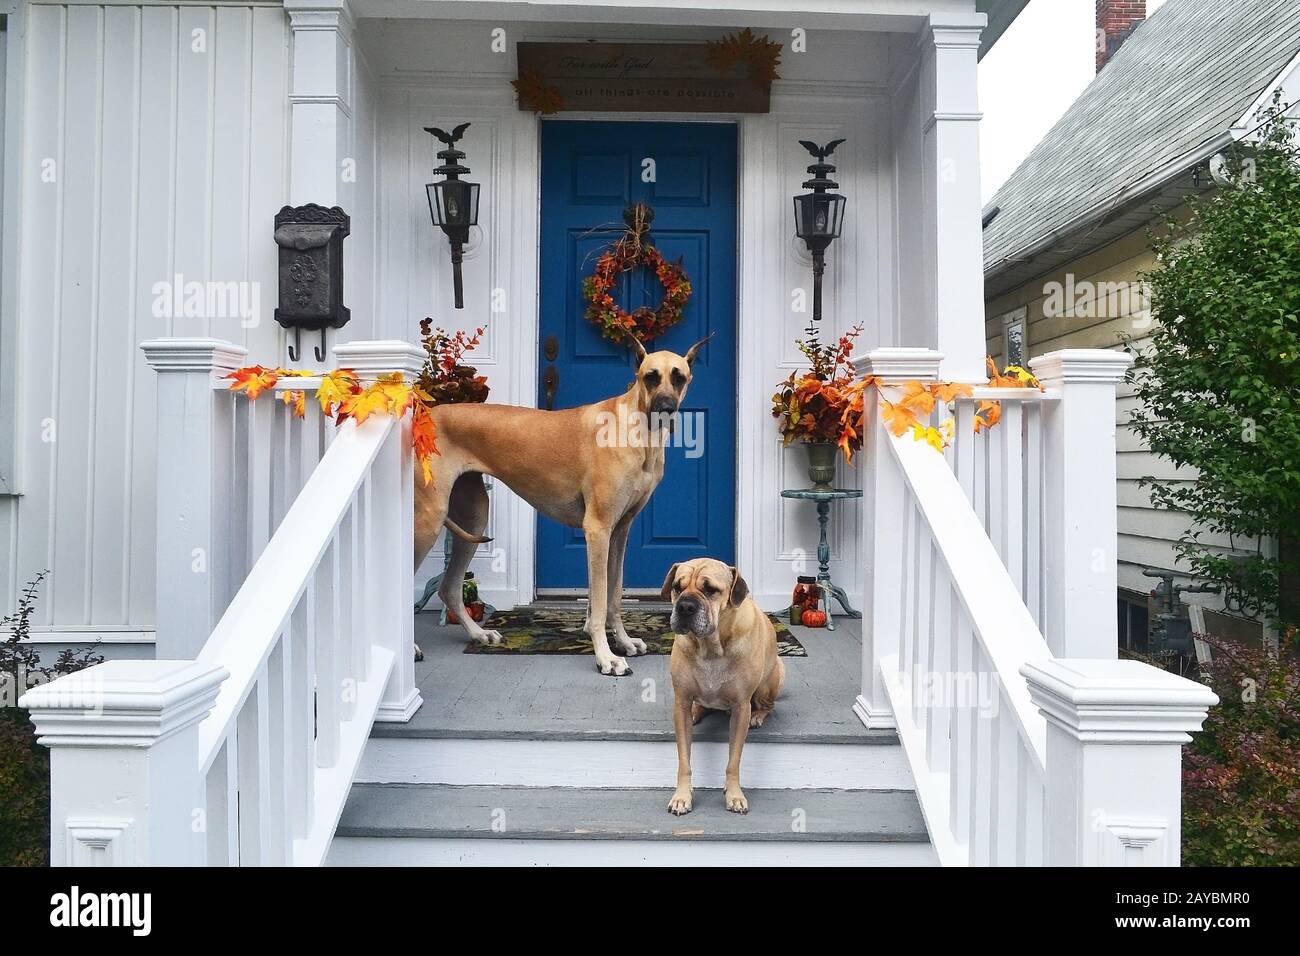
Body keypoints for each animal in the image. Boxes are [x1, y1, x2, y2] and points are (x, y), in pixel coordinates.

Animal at [413, 332, 712, 676]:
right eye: (650, 377)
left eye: (679, 377)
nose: (665, 408)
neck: (635, 430)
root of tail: (424, 414)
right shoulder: (597, 529)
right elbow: (599, 602)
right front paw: (606, 657)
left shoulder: (618, 532)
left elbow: (613, 596)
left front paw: (623, 642)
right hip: (428, 520)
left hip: (473, 517)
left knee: (449, 587)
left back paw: (479, 633)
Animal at [660, 561, 780, 816]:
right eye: (677, 587)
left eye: (710, 589)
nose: (685, 606)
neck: (710, 646)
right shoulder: (681, 701)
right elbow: (684, 760)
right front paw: (682, 796)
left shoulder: (741, 707)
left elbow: (733, 761)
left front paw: (734, 794)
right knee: (702, 706)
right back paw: (696, 712)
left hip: (771, 678)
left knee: (769, 705)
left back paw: (758, 716)